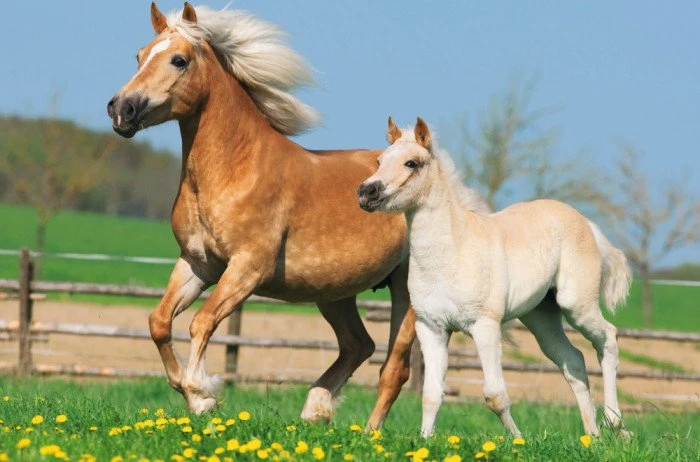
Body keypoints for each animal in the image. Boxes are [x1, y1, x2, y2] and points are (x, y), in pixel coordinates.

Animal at [107, 2, 415, 427]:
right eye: (139, 55)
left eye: (179, 60)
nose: (122, 109)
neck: (234, 169)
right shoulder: (198, 264)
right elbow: (159, 322)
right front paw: (196, 396)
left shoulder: (247, 267)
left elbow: (202, 322)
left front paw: (202, 392)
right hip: (334, 292)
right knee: (358, 345)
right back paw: (315, 410)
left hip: (407, 290)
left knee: (394, 369)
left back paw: (368, 431)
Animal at [358, 117, 632, 438]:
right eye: (379, 161)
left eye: (411, 163)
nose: (367, 192)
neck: (452, 252)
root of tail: (585, 221)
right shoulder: (432, 328)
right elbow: (431, 394)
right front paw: (425, 440)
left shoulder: (485, 326)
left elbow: (494, 394)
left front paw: (518, 440)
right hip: (541, 317)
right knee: (573, 361)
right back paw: (593, 436)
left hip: (576, 305)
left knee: (608, 339)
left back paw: (616, 424)